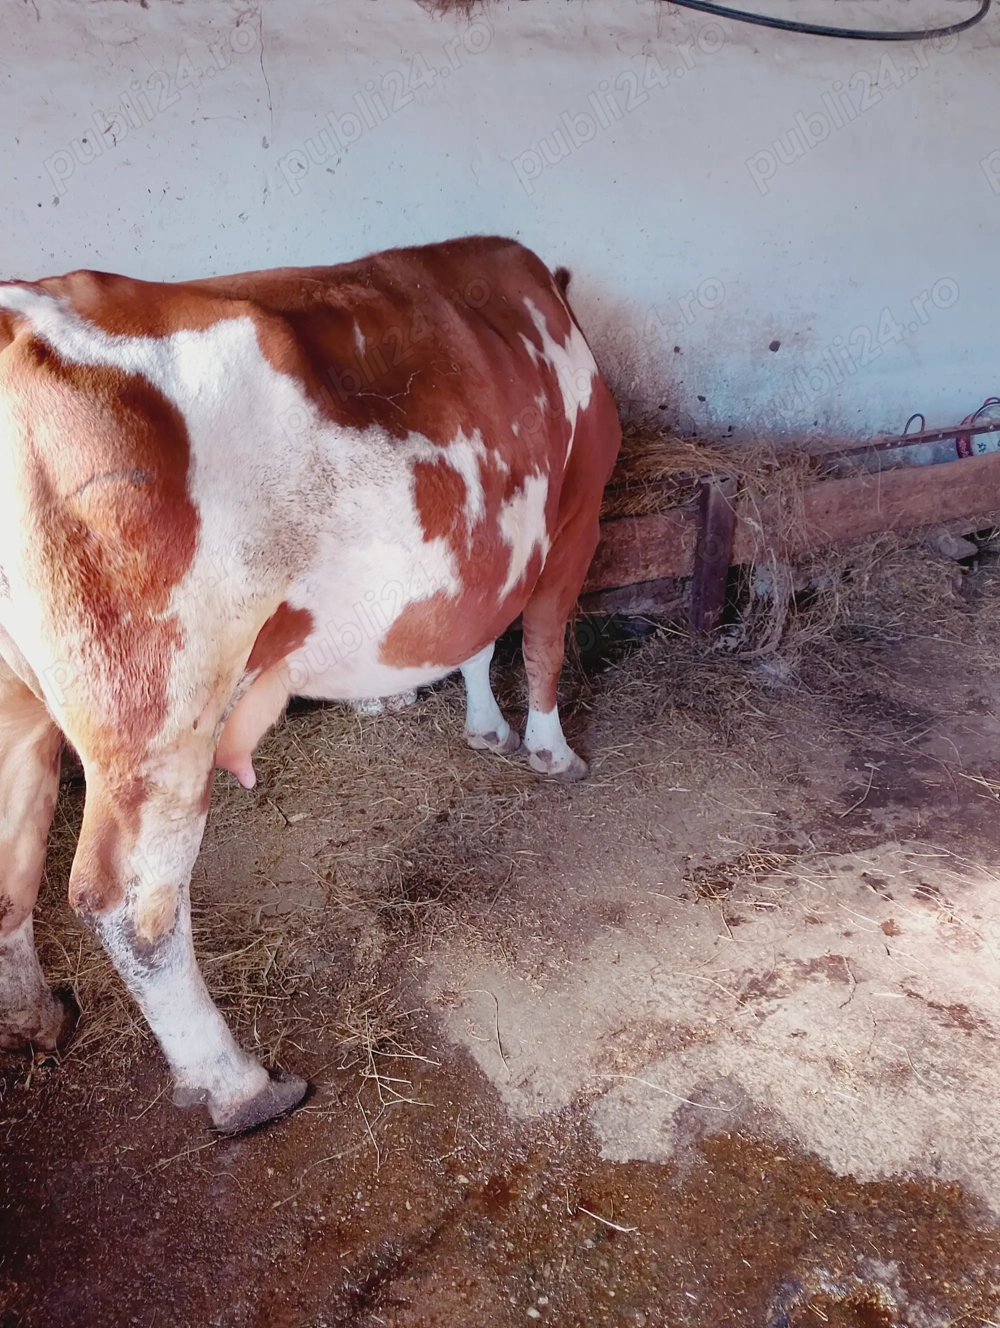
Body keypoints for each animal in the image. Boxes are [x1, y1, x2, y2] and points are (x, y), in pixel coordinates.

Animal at [0, 236, 621, 1132]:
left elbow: (476, 640)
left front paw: (486, 730)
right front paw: (550, 750)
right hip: (155, 709)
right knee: (131, 904)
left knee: (12, 862)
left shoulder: (488, 552)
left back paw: (35, 1019)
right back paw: (238, 1086)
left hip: (20, 704)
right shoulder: (576, 517)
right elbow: (541, 643)